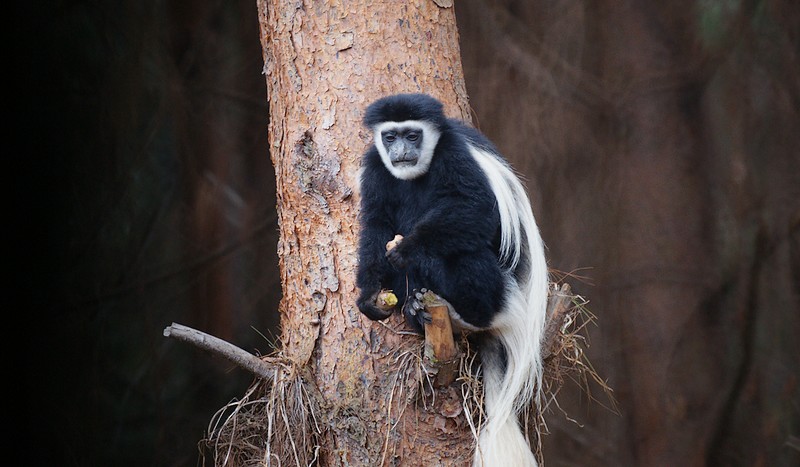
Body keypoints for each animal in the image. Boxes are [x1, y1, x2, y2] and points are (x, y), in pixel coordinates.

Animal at [356, 93, 552, 466]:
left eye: (413, 135)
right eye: (390, 137)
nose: (401, 150)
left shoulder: (455, 156)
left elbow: (477, 209)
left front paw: (408, 248)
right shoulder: (375, 168)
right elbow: (376, 224)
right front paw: (369, 297)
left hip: (496, 291)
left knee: (467, 250)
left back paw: (462, 313)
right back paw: (416, 310)